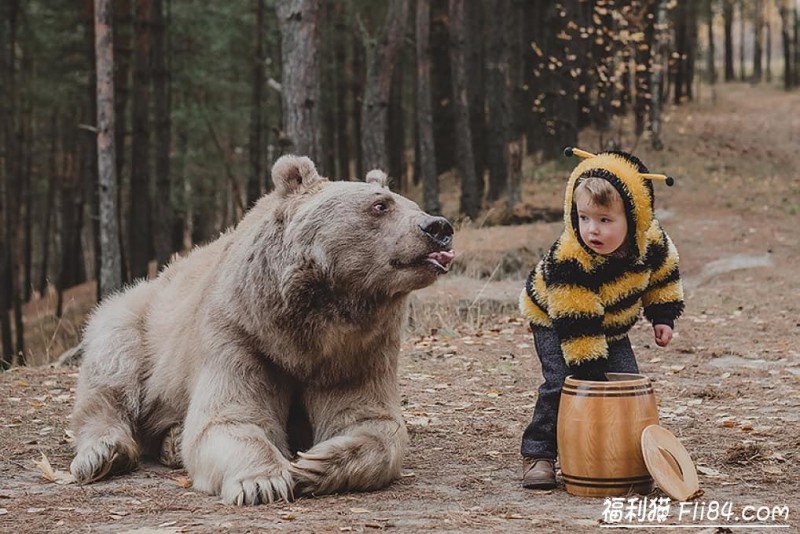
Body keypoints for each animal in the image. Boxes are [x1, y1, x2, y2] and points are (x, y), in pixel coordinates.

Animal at [67, 157, 456, 508]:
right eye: (380, 205)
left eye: (411, 203)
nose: (439, 227)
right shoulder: (241, 336)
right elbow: (229, 418)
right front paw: (263, 481)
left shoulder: (358, 353)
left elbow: (372, 424)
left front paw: (315, 463)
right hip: (140, 319)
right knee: (111, 372)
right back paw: (104, 454)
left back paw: (171, 443)